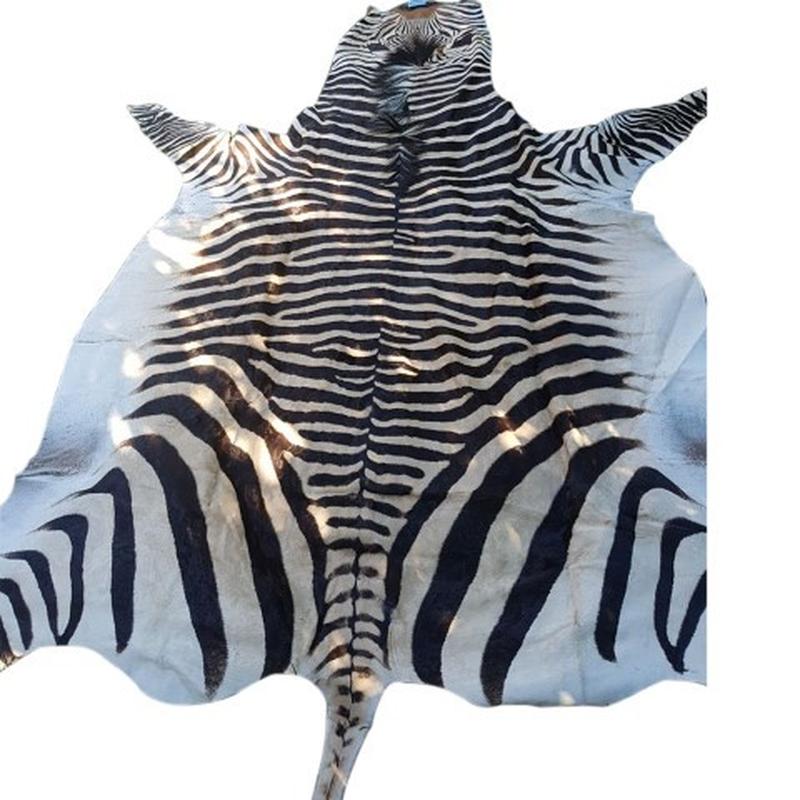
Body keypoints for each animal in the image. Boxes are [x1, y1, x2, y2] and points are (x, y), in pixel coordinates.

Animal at [0, 1, 707, 798]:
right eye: (369, 16)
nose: (417, 5)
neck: (401, 121)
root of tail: (354, 652)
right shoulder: (257, 157)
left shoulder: (554, 161)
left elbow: (646, 122)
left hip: (669, 535)